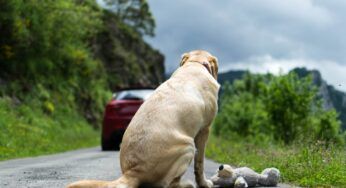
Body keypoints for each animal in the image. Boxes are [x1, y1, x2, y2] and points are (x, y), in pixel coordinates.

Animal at [67, 50, 219, 188]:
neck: (195, 63)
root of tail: (133, 172)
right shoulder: (204, 130)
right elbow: (200, 163)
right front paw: (204, 183)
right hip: (188, 146)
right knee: (170, 184)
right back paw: (187, 184)